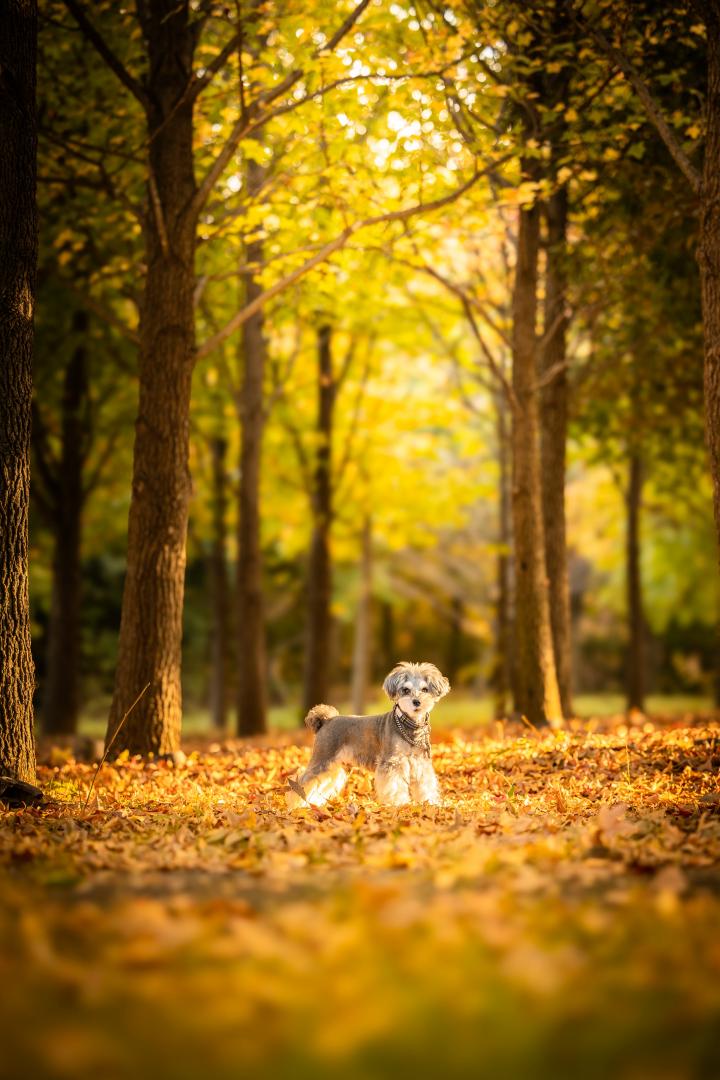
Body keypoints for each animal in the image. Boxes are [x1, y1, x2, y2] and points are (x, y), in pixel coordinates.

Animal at [287, 656, 451, 812]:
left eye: (425, 689)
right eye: (405, 690)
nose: (417, 702)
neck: (410, 726)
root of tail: (326, 720)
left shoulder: (421, 763)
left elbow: (426, 785)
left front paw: (430, 803)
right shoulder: (392, 763)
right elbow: (395, 787)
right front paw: (399, 804)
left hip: (332, 767)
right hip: (322, 760)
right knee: (303, 782)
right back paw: (295, 805)